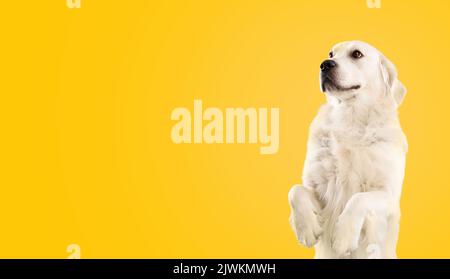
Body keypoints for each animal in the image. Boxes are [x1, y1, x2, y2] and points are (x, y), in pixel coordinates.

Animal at [288, 40, 408, 260]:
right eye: (331, 54)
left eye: (357, 54)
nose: (325, 64)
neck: (350, 116)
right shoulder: (319, 189)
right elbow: (295, 190)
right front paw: (307, 229)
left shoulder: (389, 196)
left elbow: (358, 199)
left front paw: (343, 237)